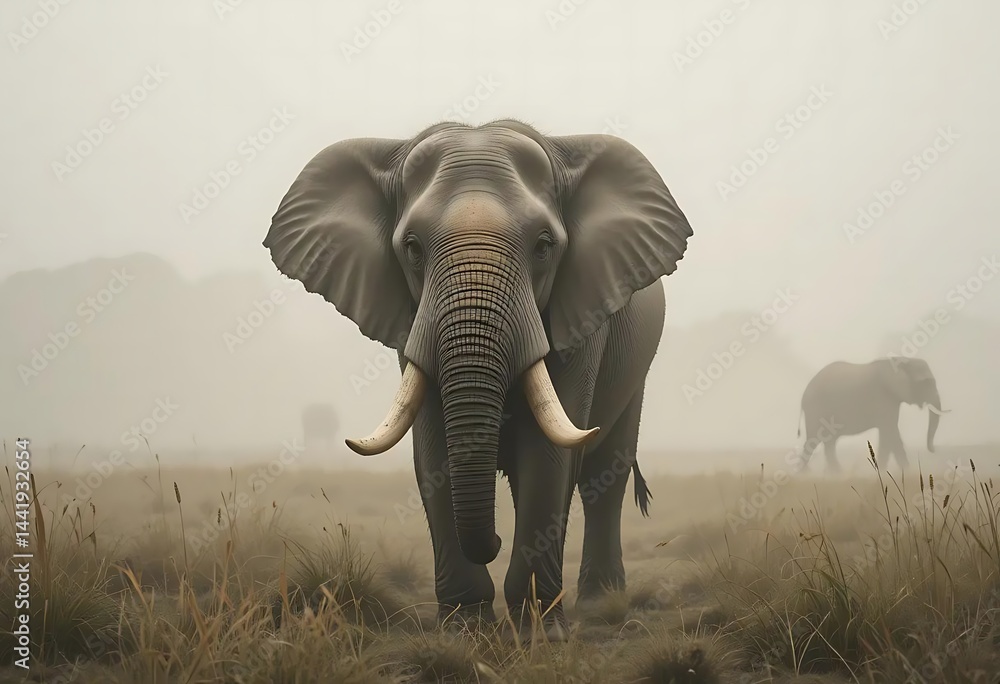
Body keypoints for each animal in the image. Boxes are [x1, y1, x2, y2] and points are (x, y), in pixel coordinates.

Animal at [262, 118, 694, 638]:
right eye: (412, 248)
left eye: (544, 246)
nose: (495, 542)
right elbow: (433, 453)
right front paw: (465, 629)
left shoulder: (583, 318)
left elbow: (546, 458)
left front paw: (540, 632)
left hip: (635, 368)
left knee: (603, 477)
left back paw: (599, 605)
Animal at [796, 357, 949, 472]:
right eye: (926, 383)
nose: (934, 450)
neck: (902, 360)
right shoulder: (883, 396)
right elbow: (890, 431)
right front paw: (890, 472)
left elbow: (890, 434)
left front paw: (893, 472)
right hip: (815, 408)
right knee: (813, 440)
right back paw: (806, 474)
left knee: (830, 442)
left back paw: (835, 474)